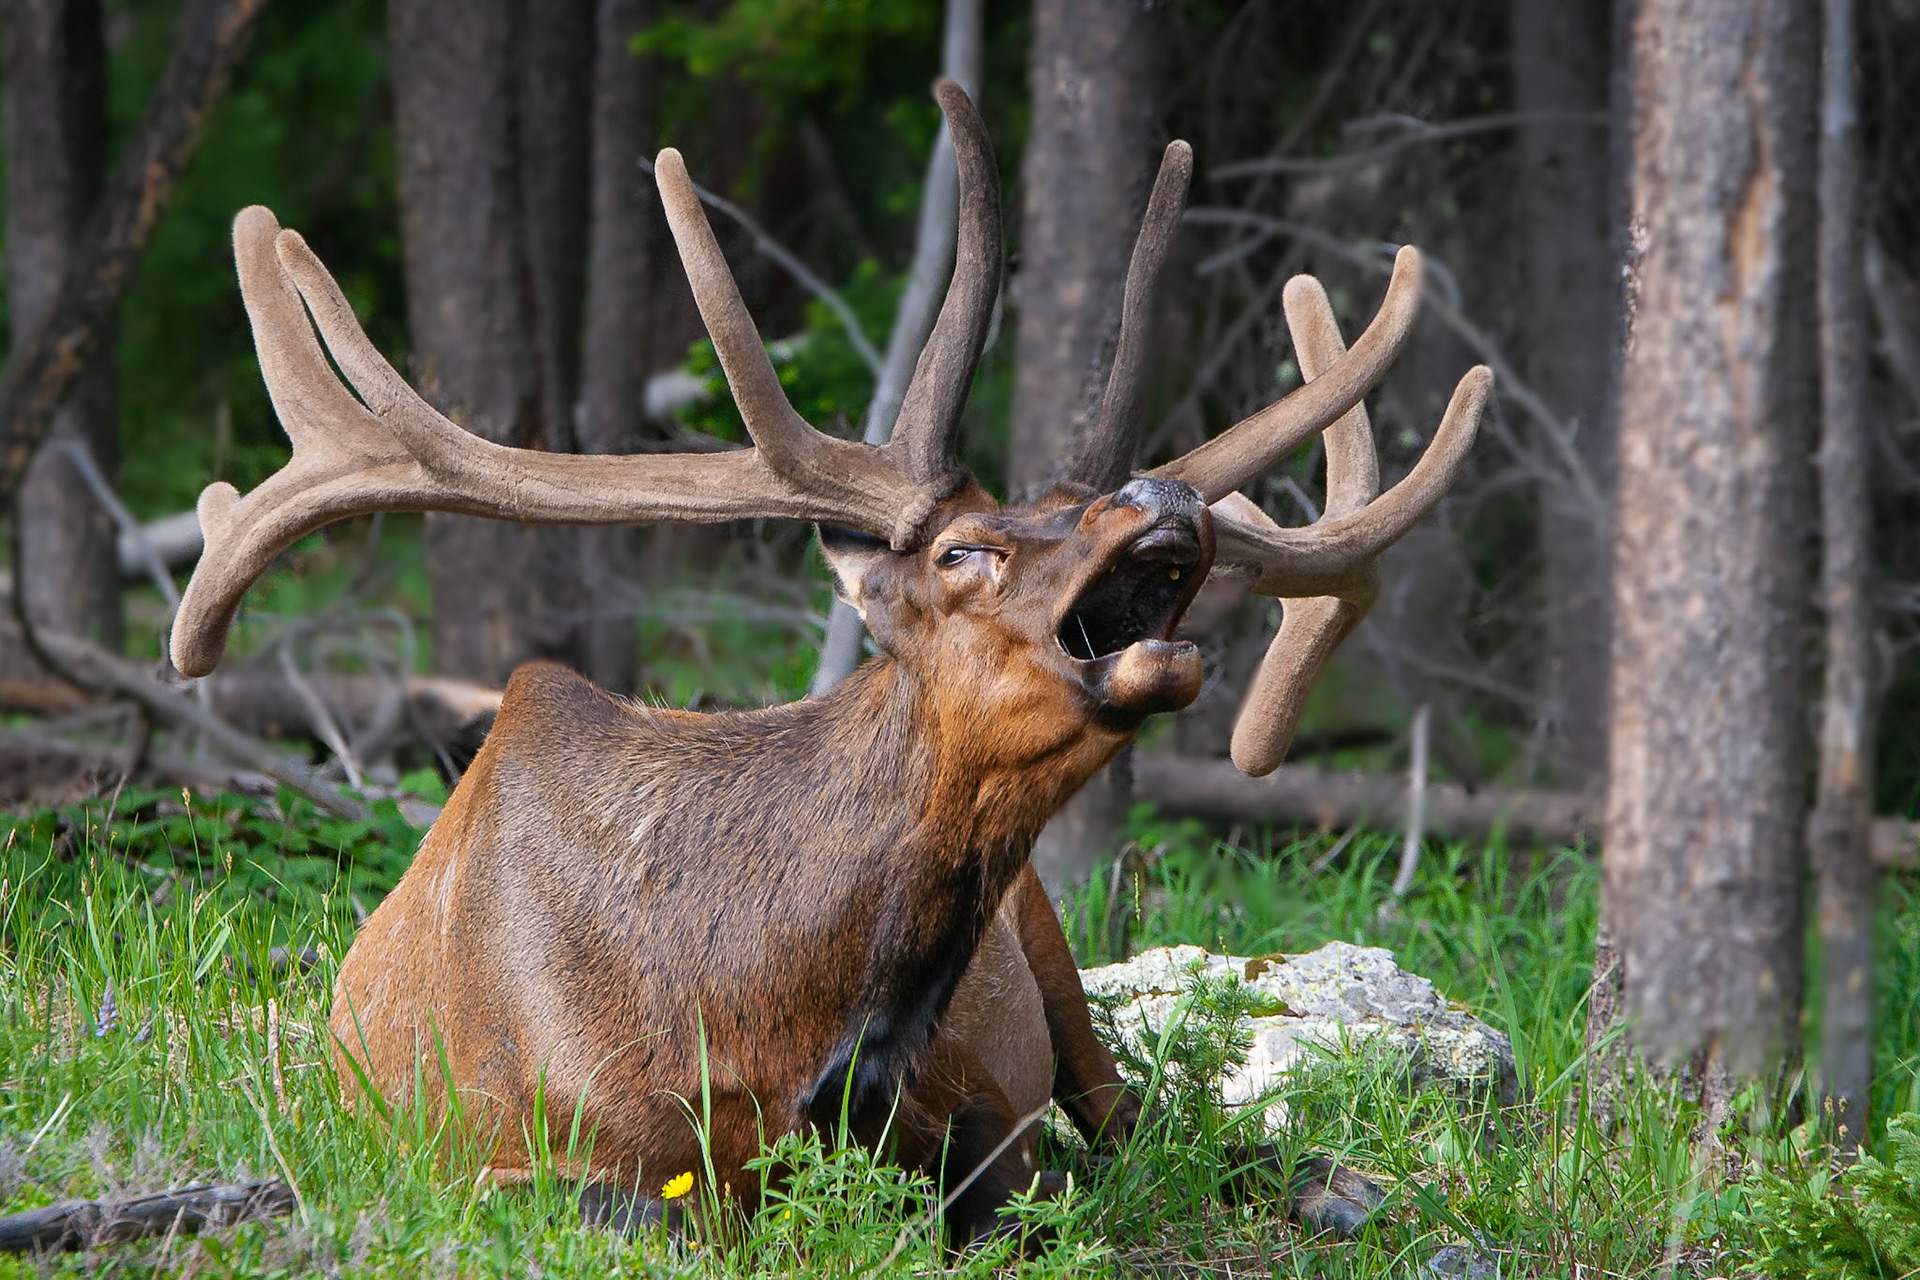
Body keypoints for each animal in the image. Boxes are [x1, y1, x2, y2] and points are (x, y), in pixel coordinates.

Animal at [169, 82, 1488, 1246]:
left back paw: (1349, 1186)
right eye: (963, 549)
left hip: (1060, 956)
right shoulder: (497, 1157)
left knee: (1173, 1126)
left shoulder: (982, 1132)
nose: (1164, 495)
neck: (781, 1026)